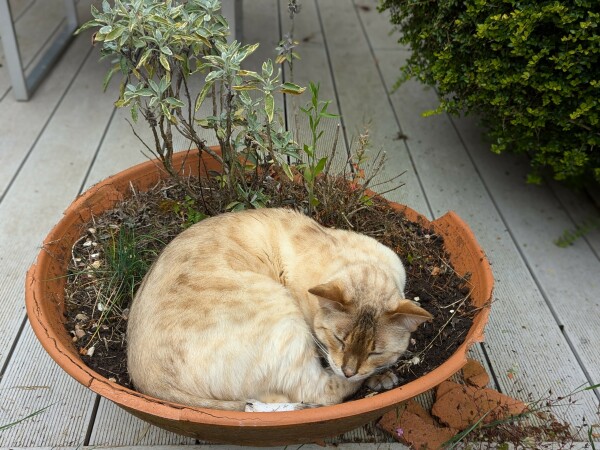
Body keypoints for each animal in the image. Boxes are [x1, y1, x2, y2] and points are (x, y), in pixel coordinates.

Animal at [129, 208, 434, 412]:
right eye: (339, 340)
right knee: (320, 393)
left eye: (375, 351)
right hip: (284, 317)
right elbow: (330, 380)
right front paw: (378, 375)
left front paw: (379, 372)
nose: (349, 370)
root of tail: (152, 386)